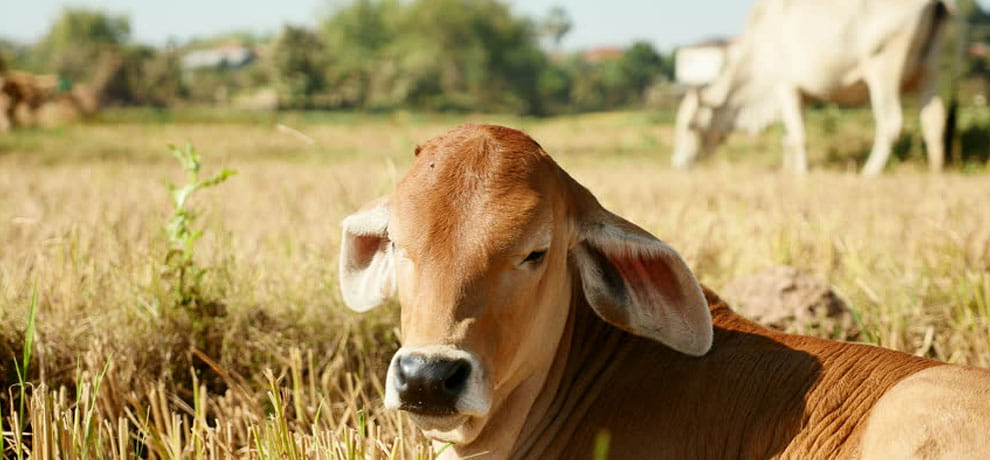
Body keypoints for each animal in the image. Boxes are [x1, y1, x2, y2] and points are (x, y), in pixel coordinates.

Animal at [672, 0, 954, 176]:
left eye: (690, 127)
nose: (678, 164)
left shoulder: (785, 86)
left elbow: (797, 136)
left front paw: (801, 172)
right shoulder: (801, 95)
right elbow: (788, 137)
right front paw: (789, 169)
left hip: (883, 66)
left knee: (890, 122)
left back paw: (870, 172)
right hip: (932, 69)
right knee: (934, 120)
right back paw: (936, 170)